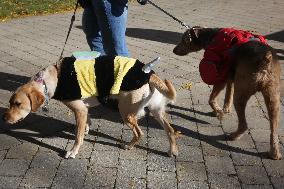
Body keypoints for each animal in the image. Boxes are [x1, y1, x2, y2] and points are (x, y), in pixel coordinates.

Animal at [2, 55, 180, 158]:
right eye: (10, 103)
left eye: (18, 104)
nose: (4, 119)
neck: (51, 79)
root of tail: (149, 73)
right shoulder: (84, 110)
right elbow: (86, 124)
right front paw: (87, 129)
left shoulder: (79, 110)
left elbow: (78, 136)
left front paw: (73, 151)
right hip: (156, 111)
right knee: (170, 130)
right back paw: (172, 151)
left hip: (126, 113)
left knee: (139, 133)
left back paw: (128, 146)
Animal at [173, 27, 282, 159]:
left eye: (184, 39)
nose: (174, 50)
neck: (211, 37)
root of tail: (266, 58)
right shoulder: (230, 78)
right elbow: (228, 95)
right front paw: (223, 110)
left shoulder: (221, 78)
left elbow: (211, 99)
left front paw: (219, 112)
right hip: (273, 98)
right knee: (273, 131)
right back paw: (274, 153)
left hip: (241, 95)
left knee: (243, 125)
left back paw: (233, 136)